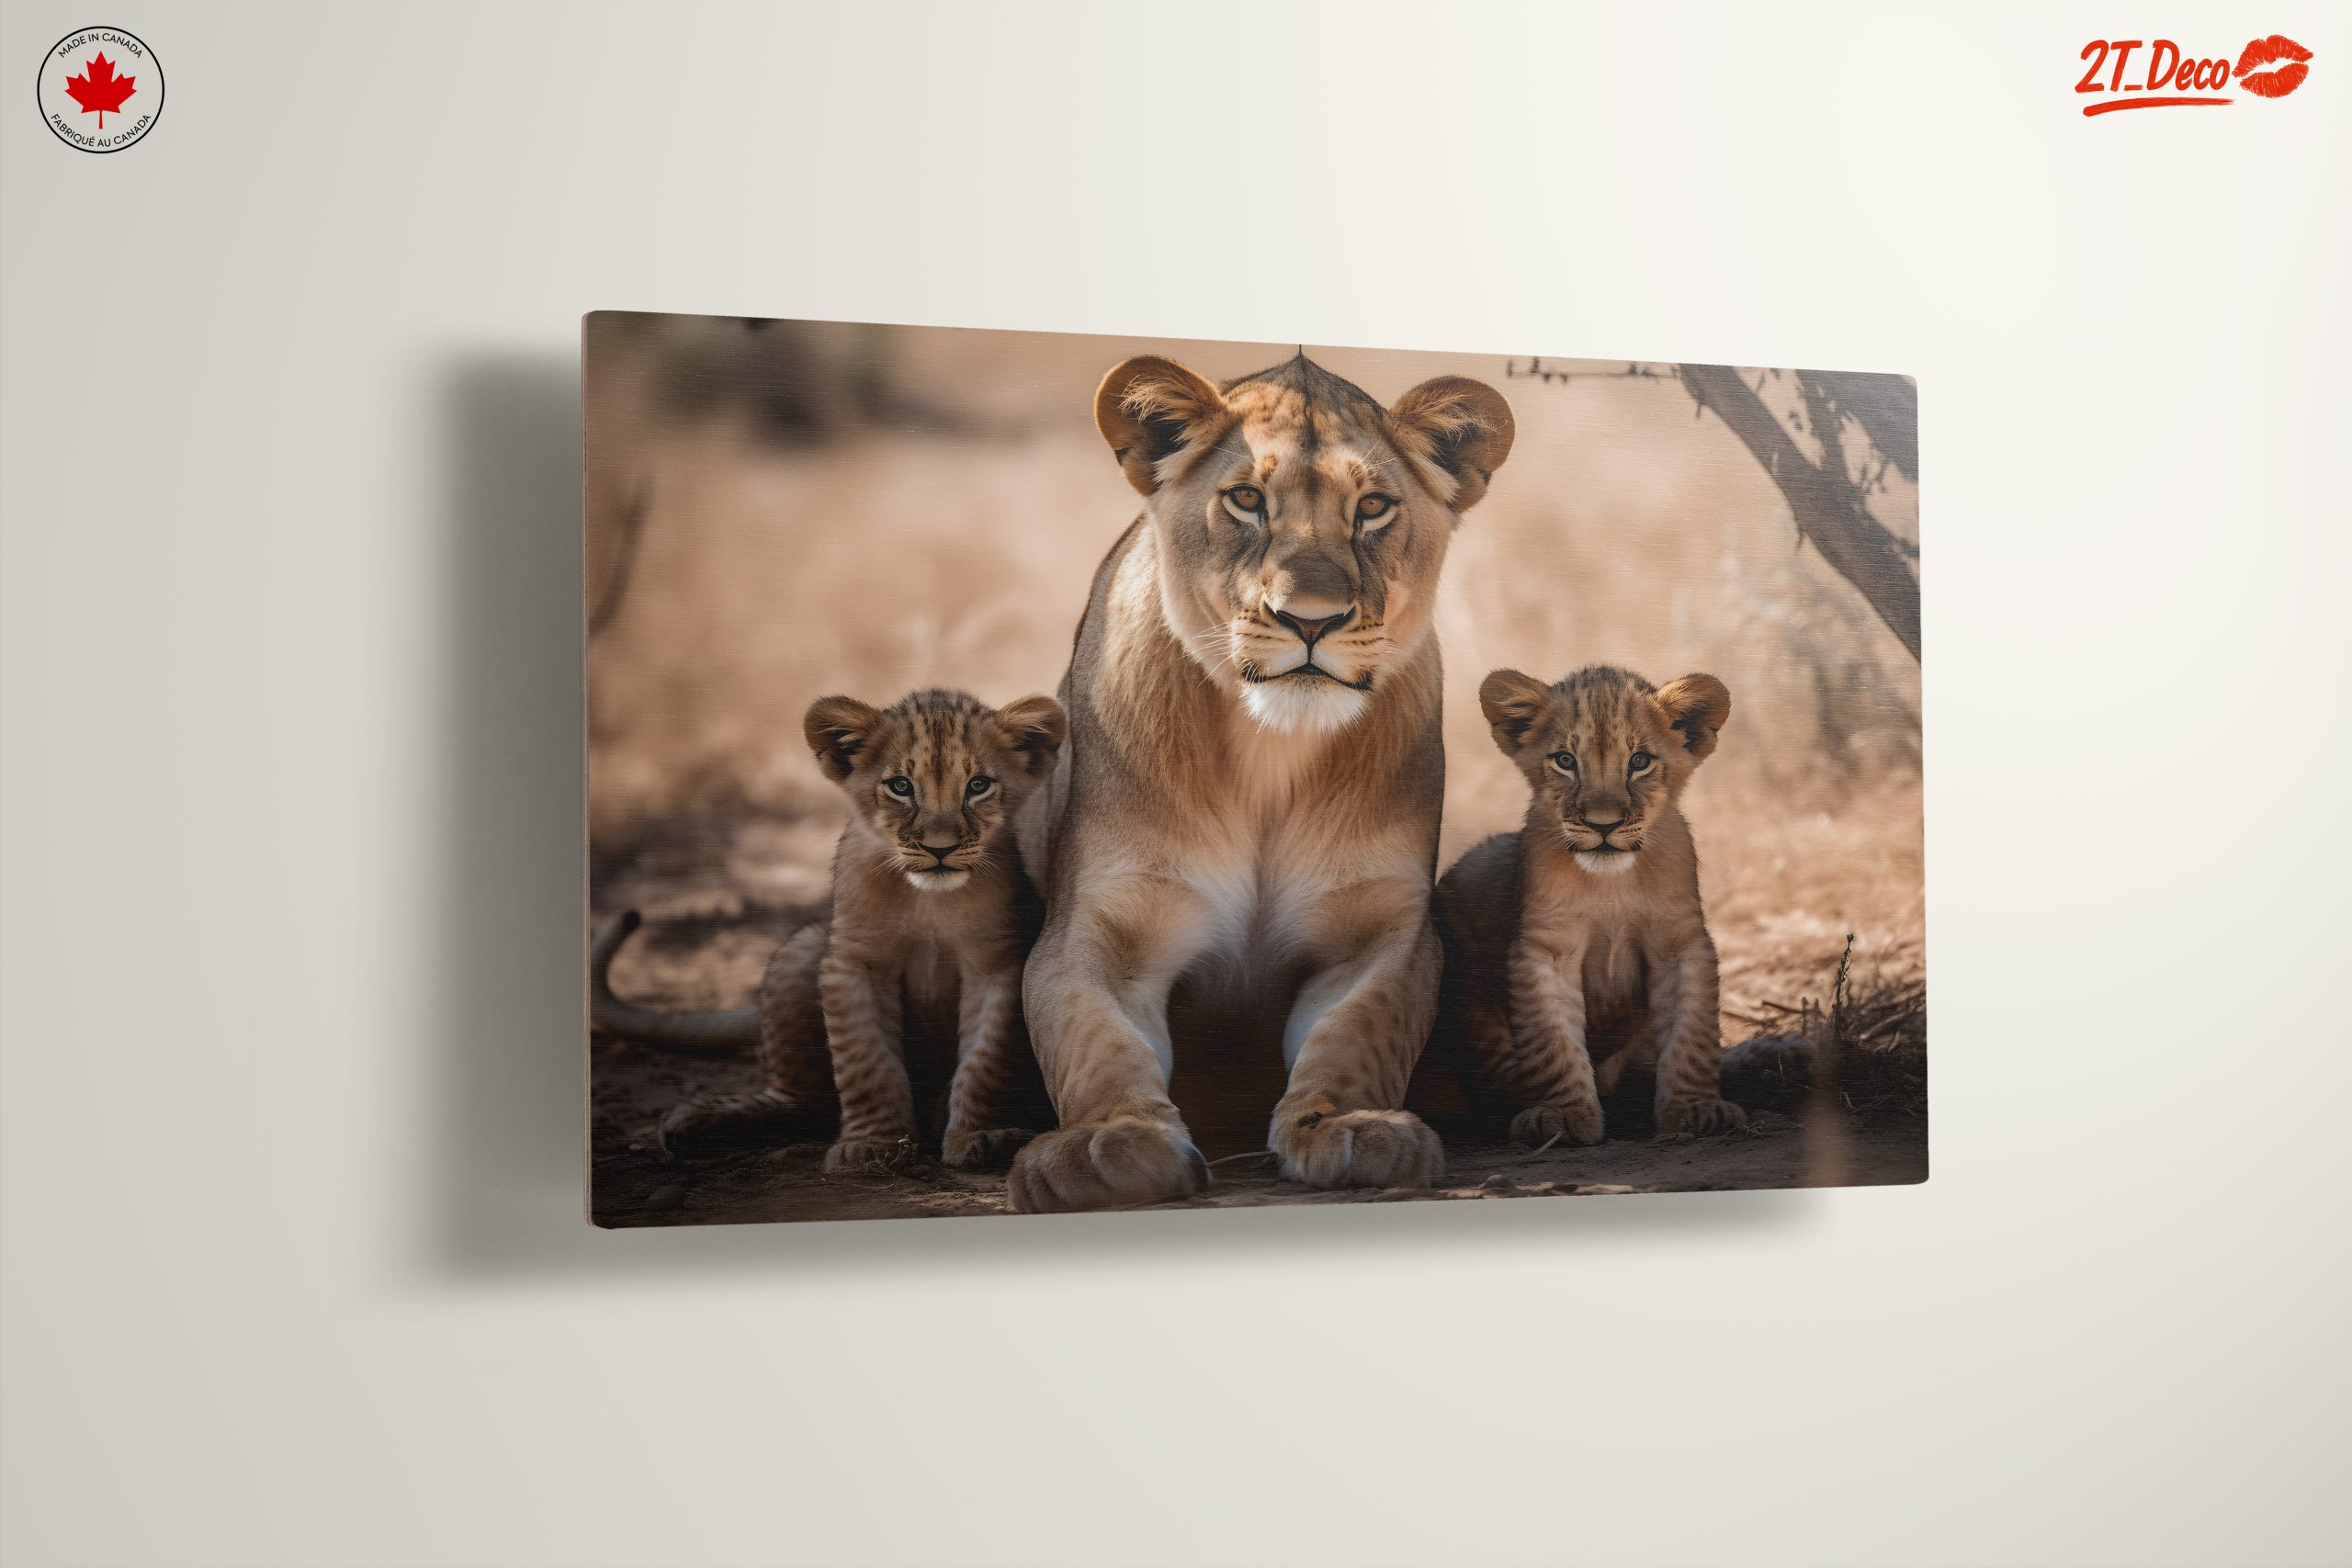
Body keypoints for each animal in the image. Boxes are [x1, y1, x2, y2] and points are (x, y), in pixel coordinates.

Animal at [1002, 352, 1516, 1213]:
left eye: (1372, 507)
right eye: (1246, 499)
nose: (1310, 620)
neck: (1268, 755)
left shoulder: (1383, 933)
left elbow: (1355, 1032)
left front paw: (1350, 1125)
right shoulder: (1095, 934)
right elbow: (1094, 1041)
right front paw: (1109, 1142)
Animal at [1422, 664, 1747, 1147]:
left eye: (1639, 762)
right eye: (1565, 761)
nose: (1603, 825)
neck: (1611, 885)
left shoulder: (1680, 944)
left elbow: (1691, 1036)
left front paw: (1696, 1109)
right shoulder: (1547, 949)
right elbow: (1552, 1041)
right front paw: (1562, 1116)